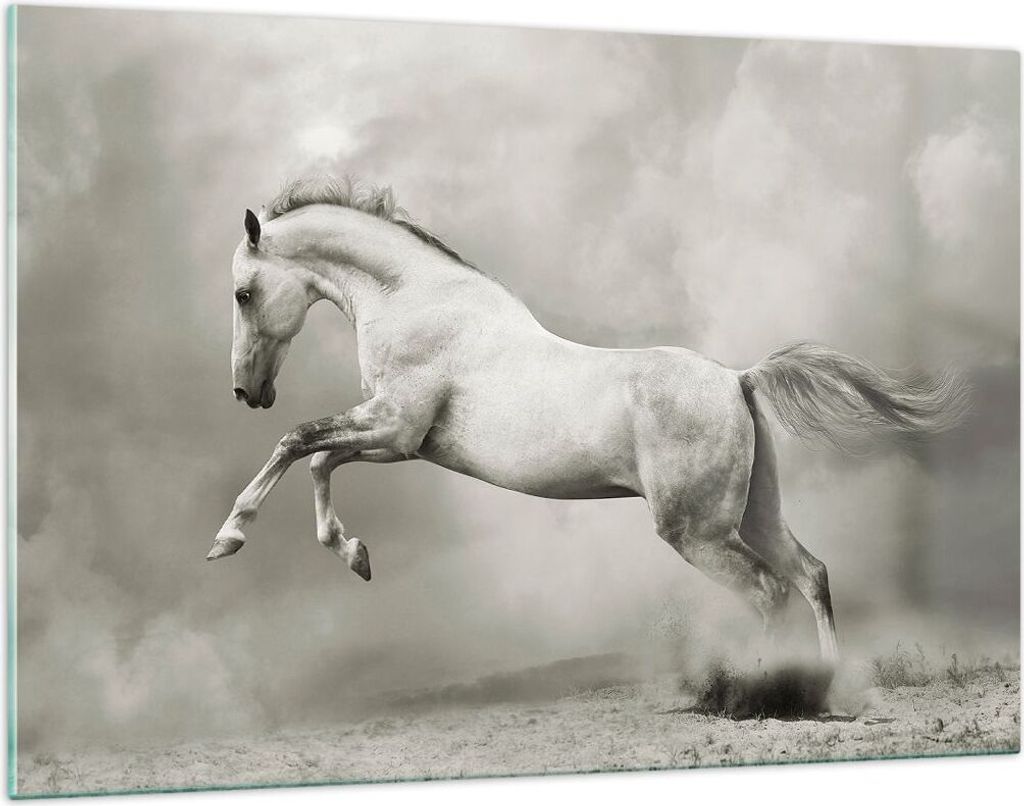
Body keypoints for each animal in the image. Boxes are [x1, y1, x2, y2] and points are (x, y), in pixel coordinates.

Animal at [208, 176, 969, 664]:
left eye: (243, 293)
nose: (246, 391)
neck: (414, 299)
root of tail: (737, 379)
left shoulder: (396, 430)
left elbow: (298, 442)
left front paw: (228, 538)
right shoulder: (395, 439)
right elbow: (318, 458)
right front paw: (355, 554)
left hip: (697, 531)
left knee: (769, 592)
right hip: (755, 514)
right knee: (811, 576)